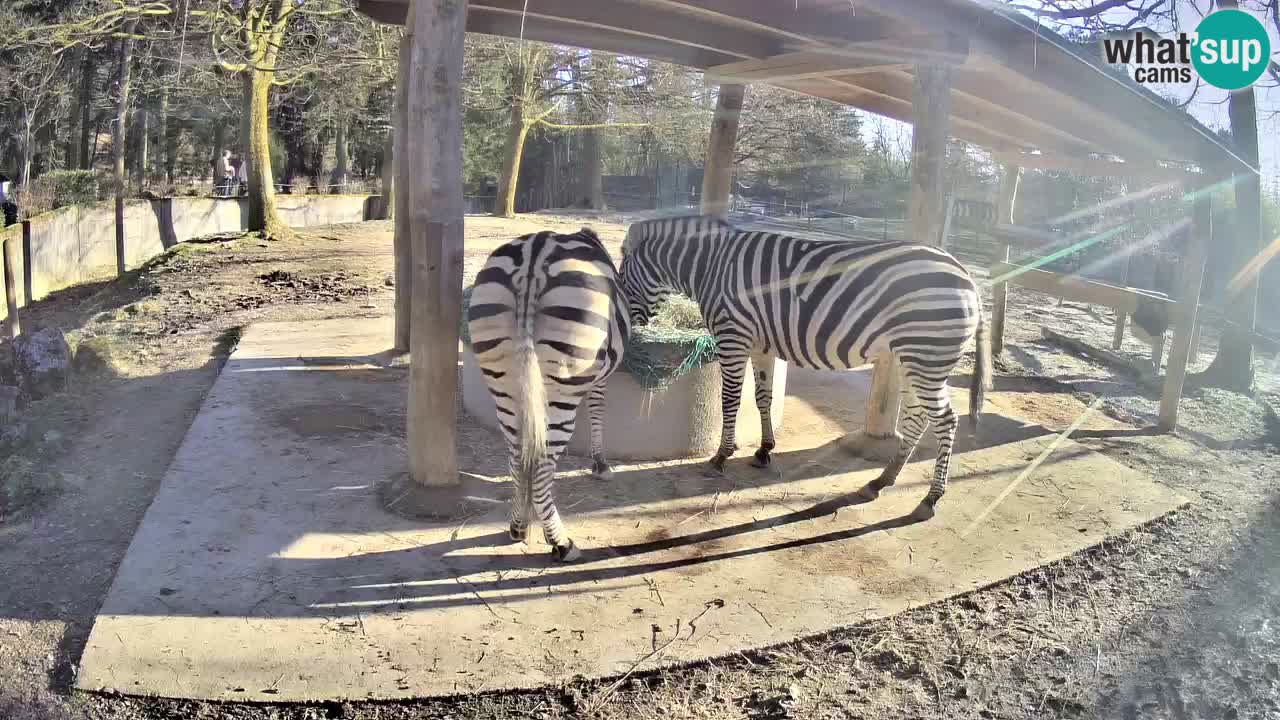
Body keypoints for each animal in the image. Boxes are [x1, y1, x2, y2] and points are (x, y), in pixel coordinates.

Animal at [467, 227, 630, 561]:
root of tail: (533, 258)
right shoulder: (599, 375)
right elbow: (597, 408)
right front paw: (601, 464)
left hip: (504, 384)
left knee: (518, 457)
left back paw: (518, 526)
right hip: (560, 385)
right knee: (542, 465)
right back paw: (562, 543)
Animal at [618, 214, 991, 521]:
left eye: (621, 273)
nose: (626, 329)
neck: (711, 267)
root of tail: (967, 278)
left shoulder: (732, 335)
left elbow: (730, 400)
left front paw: (722, 455)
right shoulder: (760, 344)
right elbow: (763, 397)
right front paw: (764, 450)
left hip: (926, 354)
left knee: (946, 420)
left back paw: (931, 498)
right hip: (912, 357)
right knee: (917, 417)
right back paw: (882, 480)